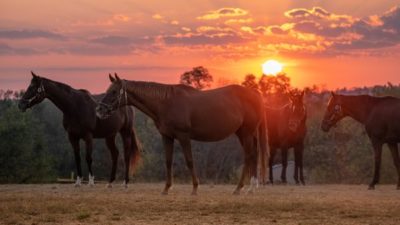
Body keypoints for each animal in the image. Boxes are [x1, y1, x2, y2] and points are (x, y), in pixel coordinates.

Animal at [95, 74, 268, 195]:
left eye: (114, 92)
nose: (99, 110)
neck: (166, 102)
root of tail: (255, 94)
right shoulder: (167, 137)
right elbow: (168, 161)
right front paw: (166, 189)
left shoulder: (184, 137)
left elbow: (189, 161)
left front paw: (195, 188)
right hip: (242, 133)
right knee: (253, 155)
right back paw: (250, 187)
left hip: (246, 133)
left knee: (249, 156)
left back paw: (240, 188)